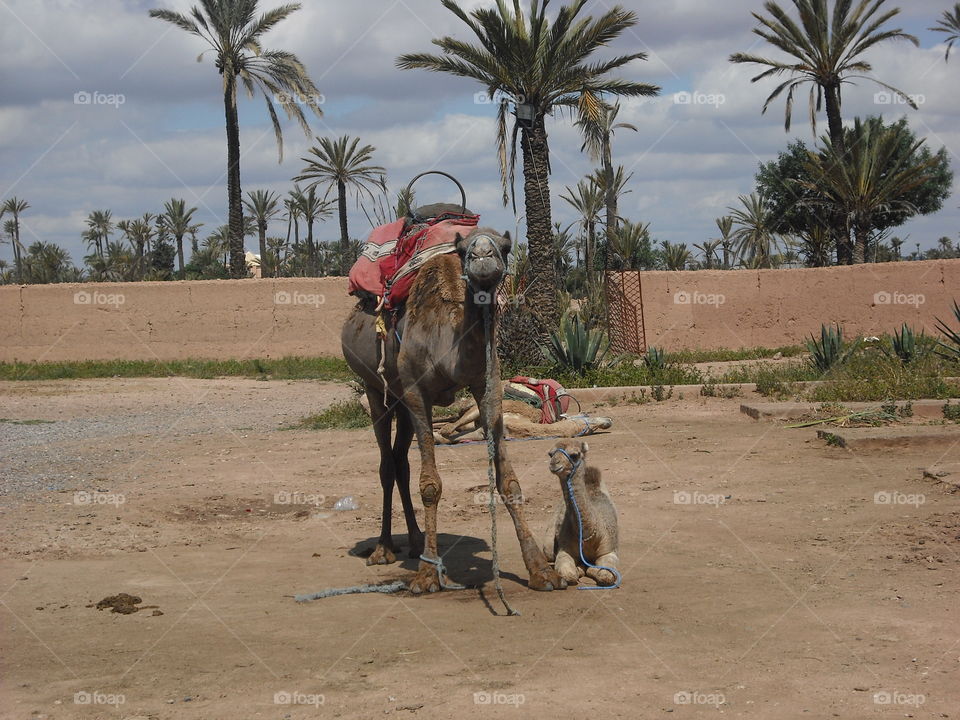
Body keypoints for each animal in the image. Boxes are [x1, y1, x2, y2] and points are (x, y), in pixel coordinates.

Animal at [341, 206, 566, 594]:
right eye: (462, 251)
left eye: (505, 246)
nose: (482, 256)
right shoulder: (417, 392)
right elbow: (430, 485)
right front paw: (427, 576)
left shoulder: (485, 385)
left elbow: (509, 482)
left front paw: (541, 571)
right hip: (374, 389)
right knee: (386, 463)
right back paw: (384, 549)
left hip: (400, 401)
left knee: (400, 461)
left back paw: (416, 540)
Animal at [545, 439, 620, 587]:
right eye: (551, 454)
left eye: (574, 455)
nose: (553, 464)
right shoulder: (564, 550)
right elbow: (569, 575)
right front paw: (579, 569)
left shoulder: (609, 551)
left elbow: (606, 576)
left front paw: (590, 569)